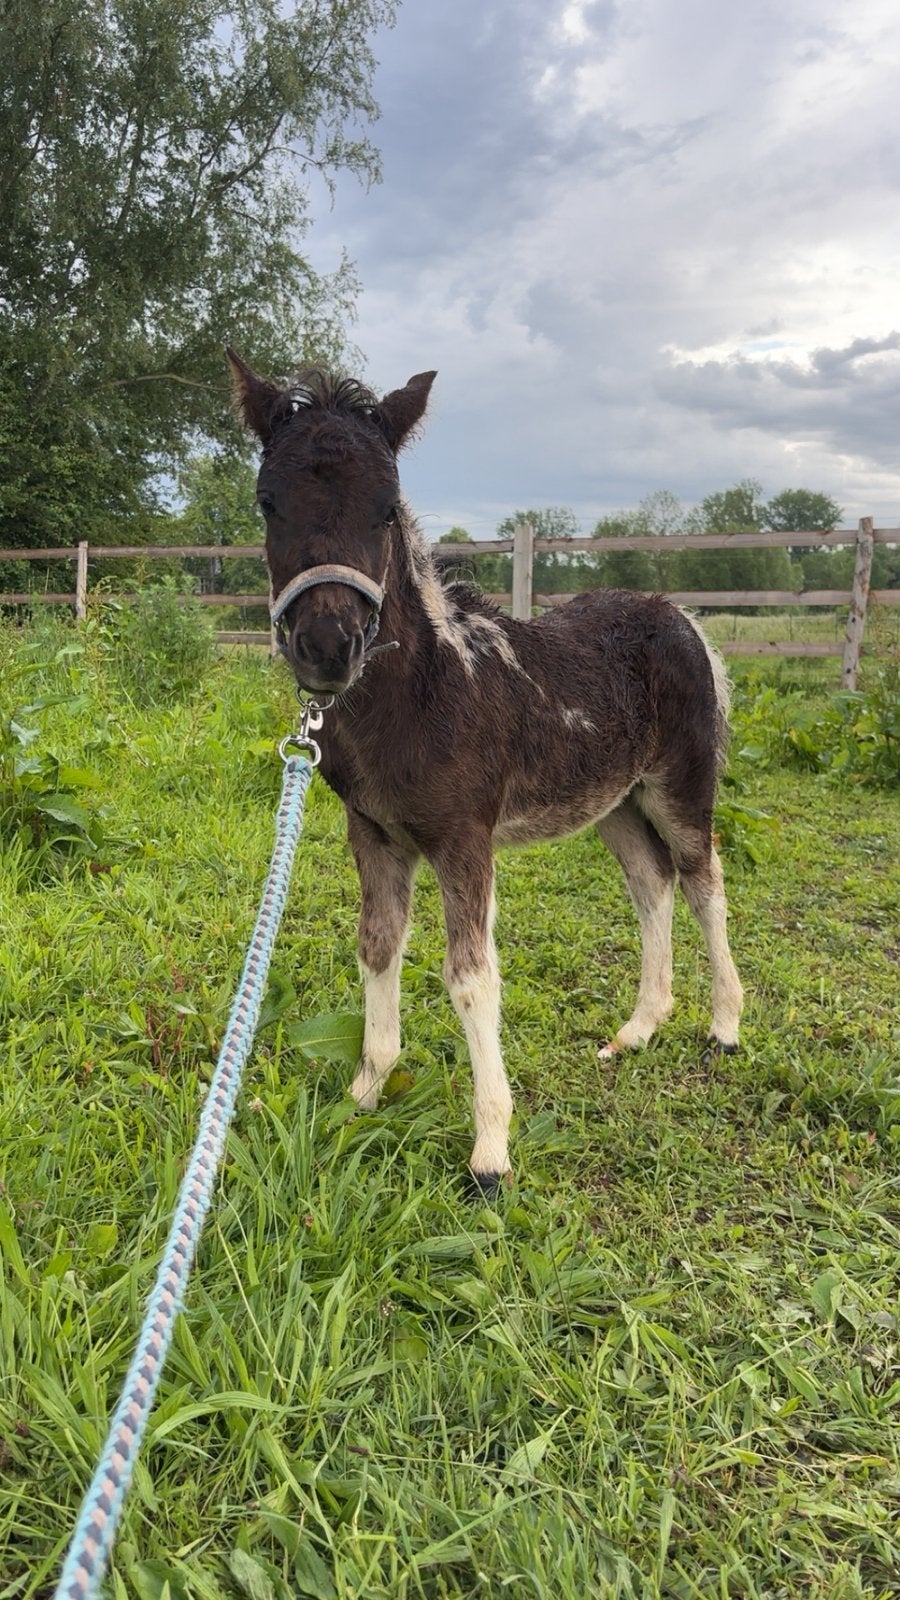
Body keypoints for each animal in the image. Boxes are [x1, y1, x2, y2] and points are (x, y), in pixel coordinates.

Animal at [227, 350, 743, 1195]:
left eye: (387, 508)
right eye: (268, 503)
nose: (327, 647)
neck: (424, 695)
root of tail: (682, 617)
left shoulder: (465, 838)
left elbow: (471, 976)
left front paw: (491, 1154)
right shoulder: (373, 832)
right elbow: (377, 945)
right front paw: (365, 1091)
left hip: (679, 783)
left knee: (704, 881)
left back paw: (725, 1025)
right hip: (615, 802)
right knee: (652, 884)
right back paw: (637, 1030)